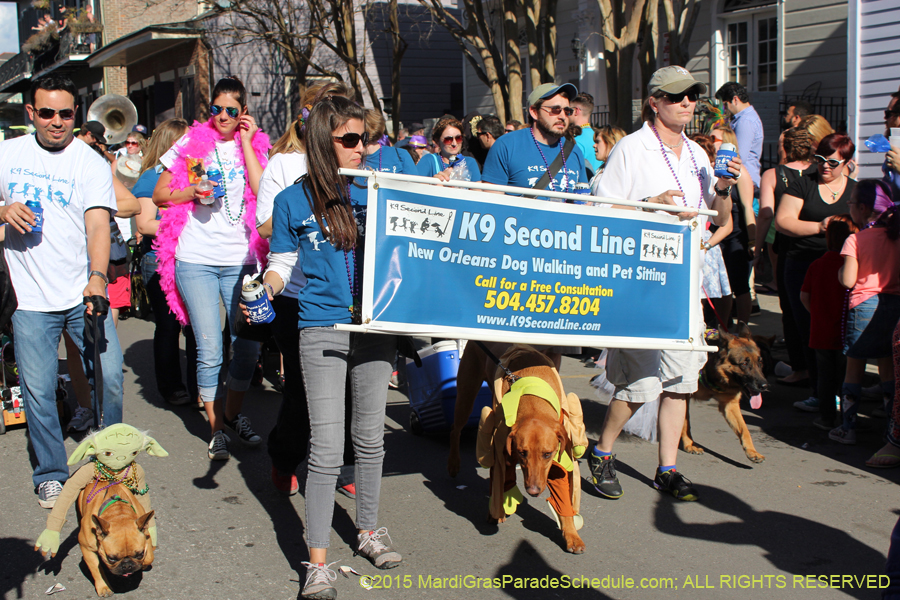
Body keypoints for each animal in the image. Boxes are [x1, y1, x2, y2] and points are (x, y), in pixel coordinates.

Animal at [684, 326, 768, 462]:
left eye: (759, 362)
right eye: (744, 364)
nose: (764, 386)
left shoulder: (730, 405)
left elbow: (744, 429)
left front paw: (751, 452)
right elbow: (685, 423)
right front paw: (689, 445)